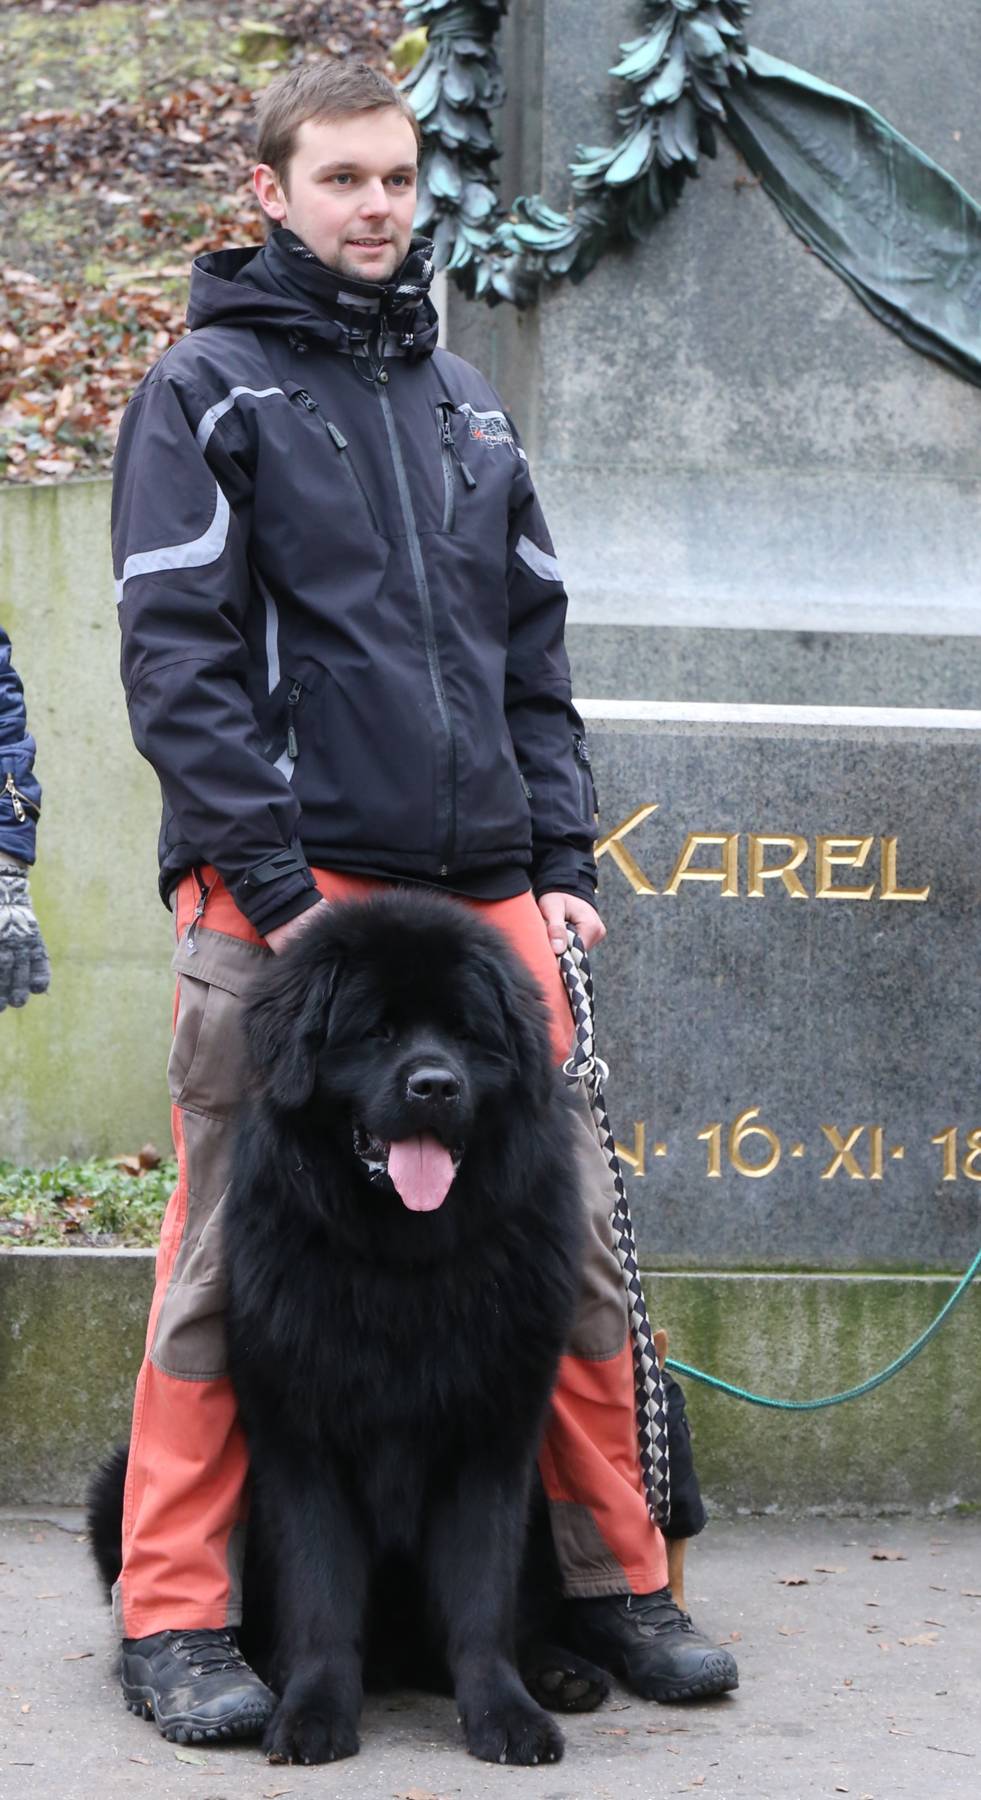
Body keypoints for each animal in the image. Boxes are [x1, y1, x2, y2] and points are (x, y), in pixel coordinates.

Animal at [91, 890, 611, 1765]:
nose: (434, 1086)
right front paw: (311, 1710)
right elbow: (322, 1591)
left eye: (466, 1032)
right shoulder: (302, 1437)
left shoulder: (492, 1435)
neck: (400, 1264)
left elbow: (480, 1594)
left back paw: (559, 1671)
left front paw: (504, 1712)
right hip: (114, 1488)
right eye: (377, 1031)